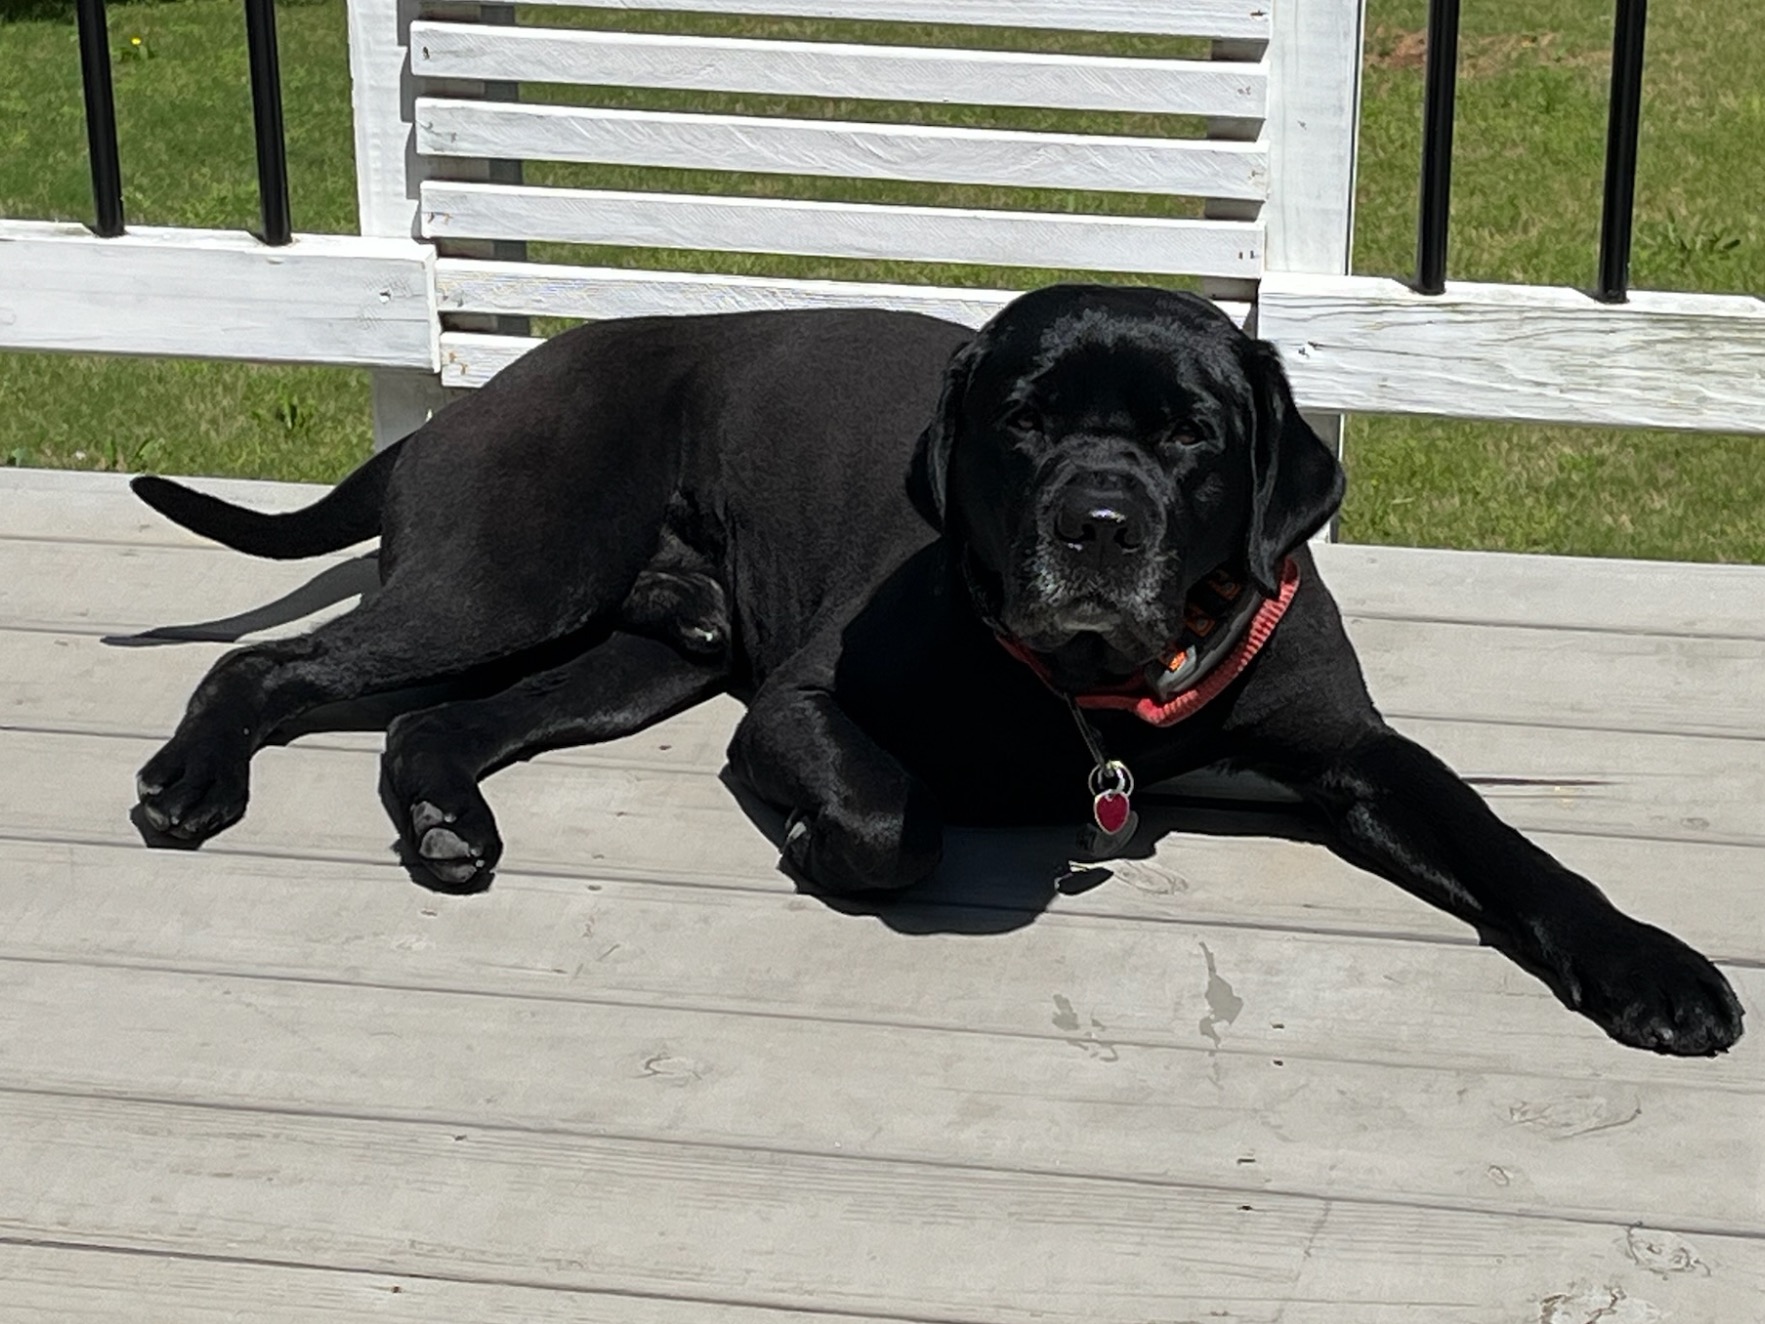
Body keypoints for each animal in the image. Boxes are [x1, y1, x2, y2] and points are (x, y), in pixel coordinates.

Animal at [130, 284, 1744, 1056]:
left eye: (1192, 436)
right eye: (1022, 421)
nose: (1096, 524)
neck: (1097, 684)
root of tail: (468, 401)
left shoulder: (1359, 755)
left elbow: (1513, 849)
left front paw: (1651, 967)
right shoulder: (801, 703)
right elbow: (893, 815)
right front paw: (815, 842)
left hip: (630, 659)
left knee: (438, 729)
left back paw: (447, 823)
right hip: (510, 577)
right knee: (266, 669)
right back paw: (185, 783)